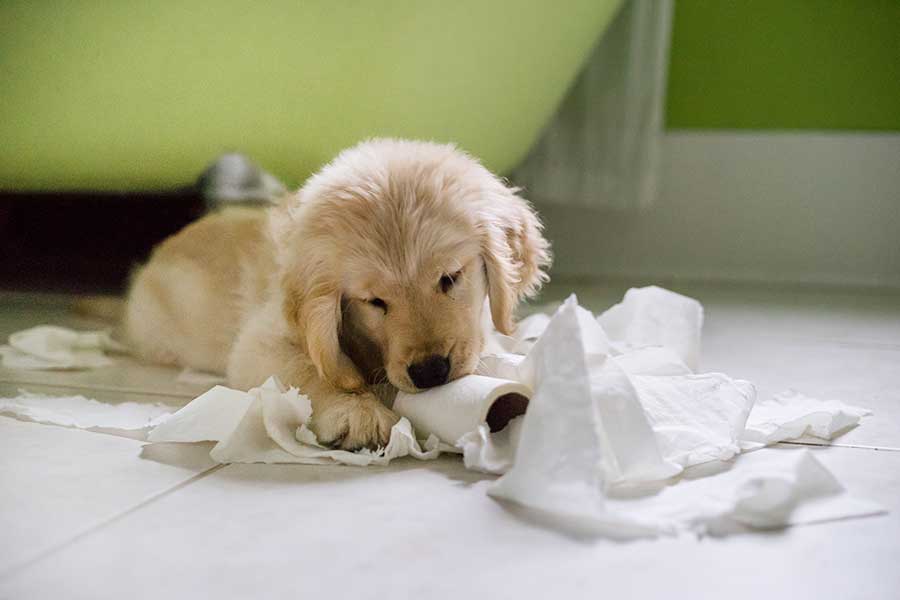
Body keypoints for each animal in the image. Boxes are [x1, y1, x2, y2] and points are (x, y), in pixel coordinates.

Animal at [122, 139, 548, 450]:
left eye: (450, 277)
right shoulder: (261, 342)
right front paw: (356, 412)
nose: (430, 371)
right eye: (374, 302)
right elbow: (309, 369)